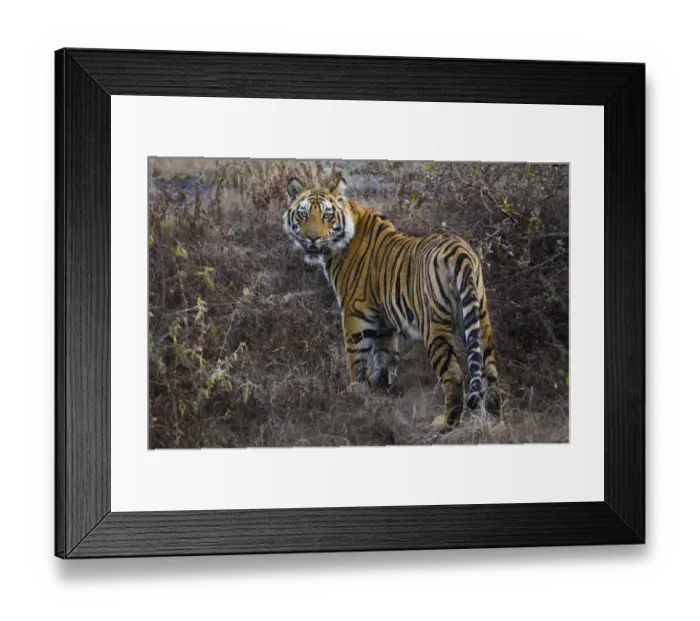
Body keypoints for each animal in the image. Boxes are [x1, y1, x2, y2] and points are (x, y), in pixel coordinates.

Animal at [283, 176, 502, 431]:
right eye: (303, 214)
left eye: (327, 216)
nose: (313, 237)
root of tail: (460, 251)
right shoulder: (383, 319)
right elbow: (384, 354)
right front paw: (381, 388)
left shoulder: (355, 312)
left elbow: (356, 359)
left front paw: (356, 396)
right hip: (481, 319)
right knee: (491, 373)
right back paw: (496, 423)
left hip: (434, 325)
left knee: (454, 374)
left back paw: (446, 425)